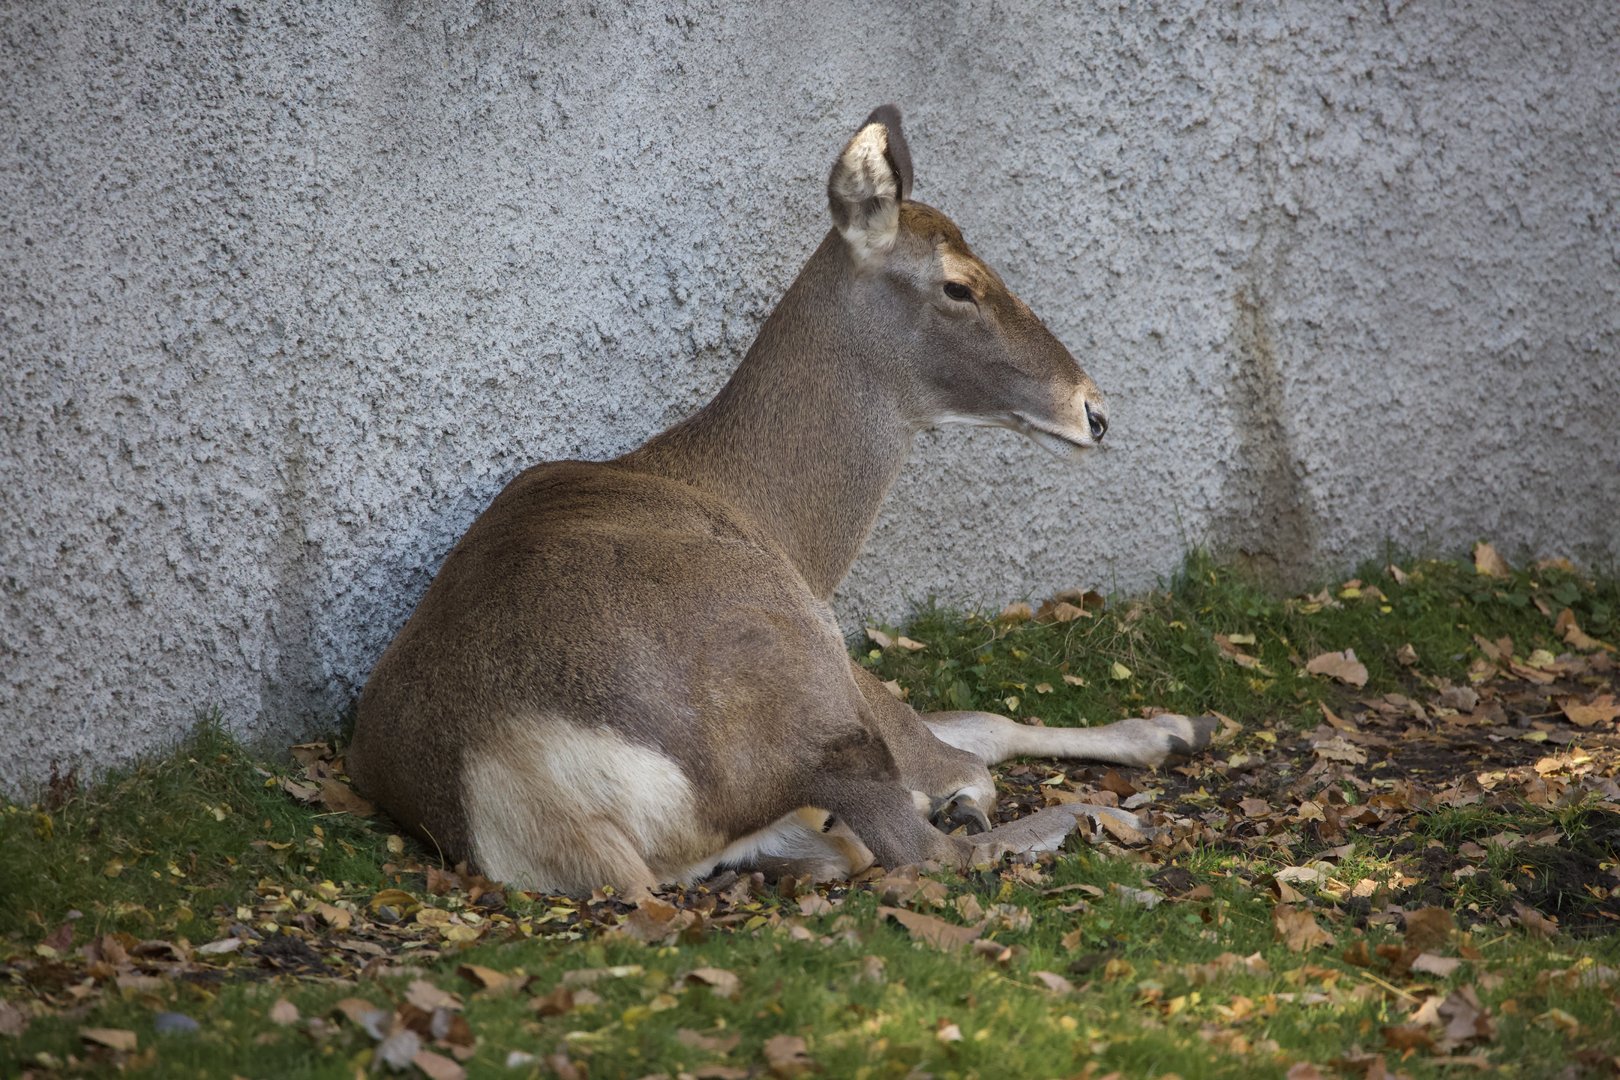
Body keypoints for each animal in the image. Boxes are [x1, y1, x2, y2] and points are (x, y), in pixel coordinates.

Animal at [346, 106, 1216, 898]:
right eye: (958, 285)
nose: (1093, 410)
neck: (789, 529)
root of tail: (521, 781)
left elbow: (981, 724)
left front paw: (1176, 725)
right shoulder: (846, 671)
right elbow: (972, 750)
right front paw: (1153, 741)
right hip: (805, 696)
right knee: (931, 847)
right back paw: (1100, 816)